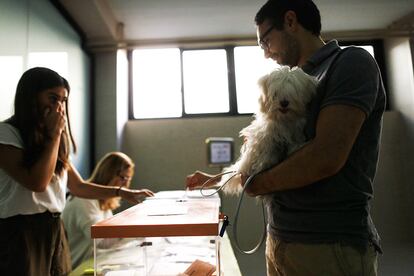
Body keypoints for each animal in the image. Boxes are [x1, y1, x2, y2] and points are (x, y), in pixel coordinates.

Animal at [220, 66, 316, 194]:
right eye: (275, 93)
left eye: (292, 93)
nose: (284, 103)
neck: (283, 120)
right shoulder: (264, 137)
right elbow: (264, 151)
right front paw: (264, 163)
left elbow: (294, 144)